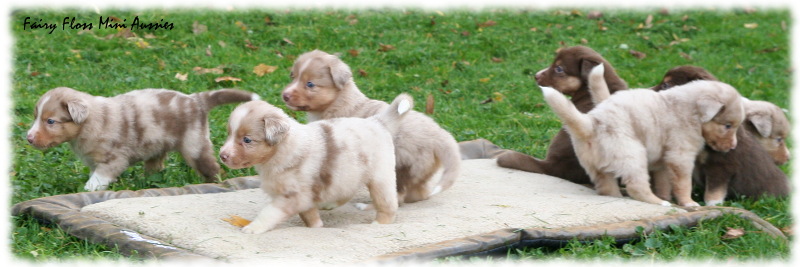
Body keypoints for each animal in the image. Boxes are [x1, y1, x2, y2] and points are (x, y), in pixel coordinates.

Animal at [26, 87, 258, 192]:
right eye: (36, 116)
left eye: (50, 121)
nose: (28, 138)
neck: (90, 122)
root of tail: (196, 100)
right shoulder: (94, 160)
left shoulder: (114, 159)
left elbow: (97, 179)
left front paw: (88, 190)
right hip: (157, 147)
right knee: (156, 166)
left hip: (194, 145)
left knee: (213, 169)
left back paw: (216, 183)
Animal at [217, 93, 410, 234]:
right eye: (229, 134)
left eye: (247, 140)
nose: (222, 156)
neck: (281, 151)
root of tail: (377, 121)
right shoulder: (305, 196)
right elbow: (309, 216)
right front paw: (317, 227)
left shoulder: (291, 196)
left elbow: (268, 212)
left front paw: (252, 227)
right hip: (347, 173)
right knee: (346, 192)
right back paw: (328, 204)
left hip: (380, 178)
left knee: (388, 204)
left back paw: (379, 224)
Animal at [282, 50, 460, 204]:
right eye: (293, 76)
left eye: (310, 84)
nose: (285, 95)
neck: (338, 101)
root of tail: (440, 135)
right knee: (419, 192)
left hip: (404, 164)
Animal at [540, 65, 748, 207]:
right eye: (727, 125)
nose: (732, 147)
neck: (691, 111)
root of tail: (591, 124)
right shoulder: (680, 156)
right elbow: (683, 183)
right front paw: (688, 203)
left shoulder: (663, 162)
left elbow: (664, 182)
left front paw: (666, 196)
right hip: (633, 155)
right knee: (636, 186)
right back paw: (658, 203)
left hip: (597, 167)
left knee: (607, 188)